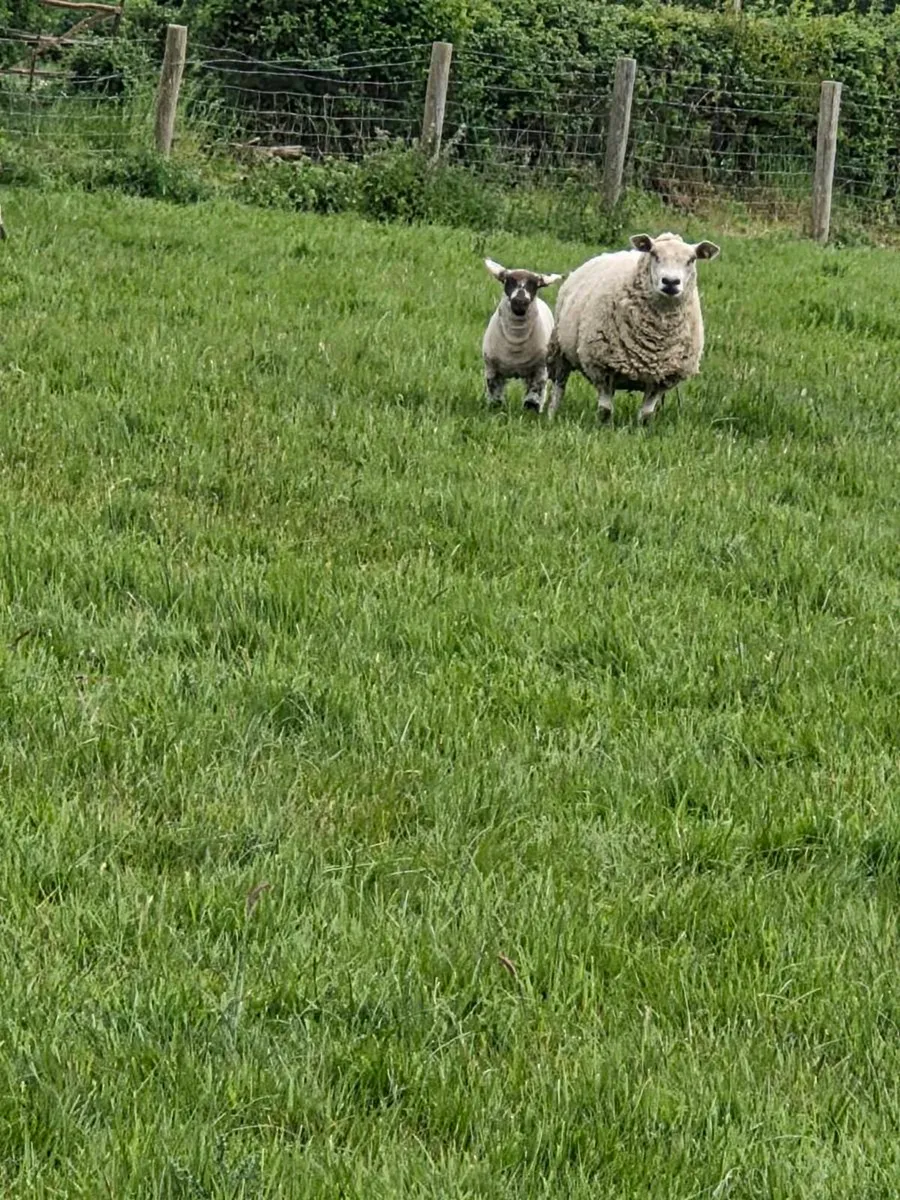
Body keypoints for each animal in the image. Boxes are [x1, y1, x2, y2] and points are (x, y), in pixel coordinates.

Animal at [482, 258, 562, 411]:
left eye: (535, 285)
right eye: (508, 280)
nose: (520, 302)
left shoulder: (539, 370)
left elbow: (533, 397)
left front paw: (530, 412)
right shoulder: (492, 369)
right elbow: (495, 395)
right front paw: (495, 409)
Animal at [544, 231, 720, 424]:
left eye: (691, 259)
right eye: (654, 254)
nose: (670, 282)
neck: (656, 338)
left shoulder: (662, 378)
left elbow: (646, 415)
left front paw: (641, 430)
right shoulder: (602, 367)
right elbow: (605, 410)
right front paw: (603, 428)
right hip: (560, 350)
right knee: (559, 386)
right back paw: (551, 416)